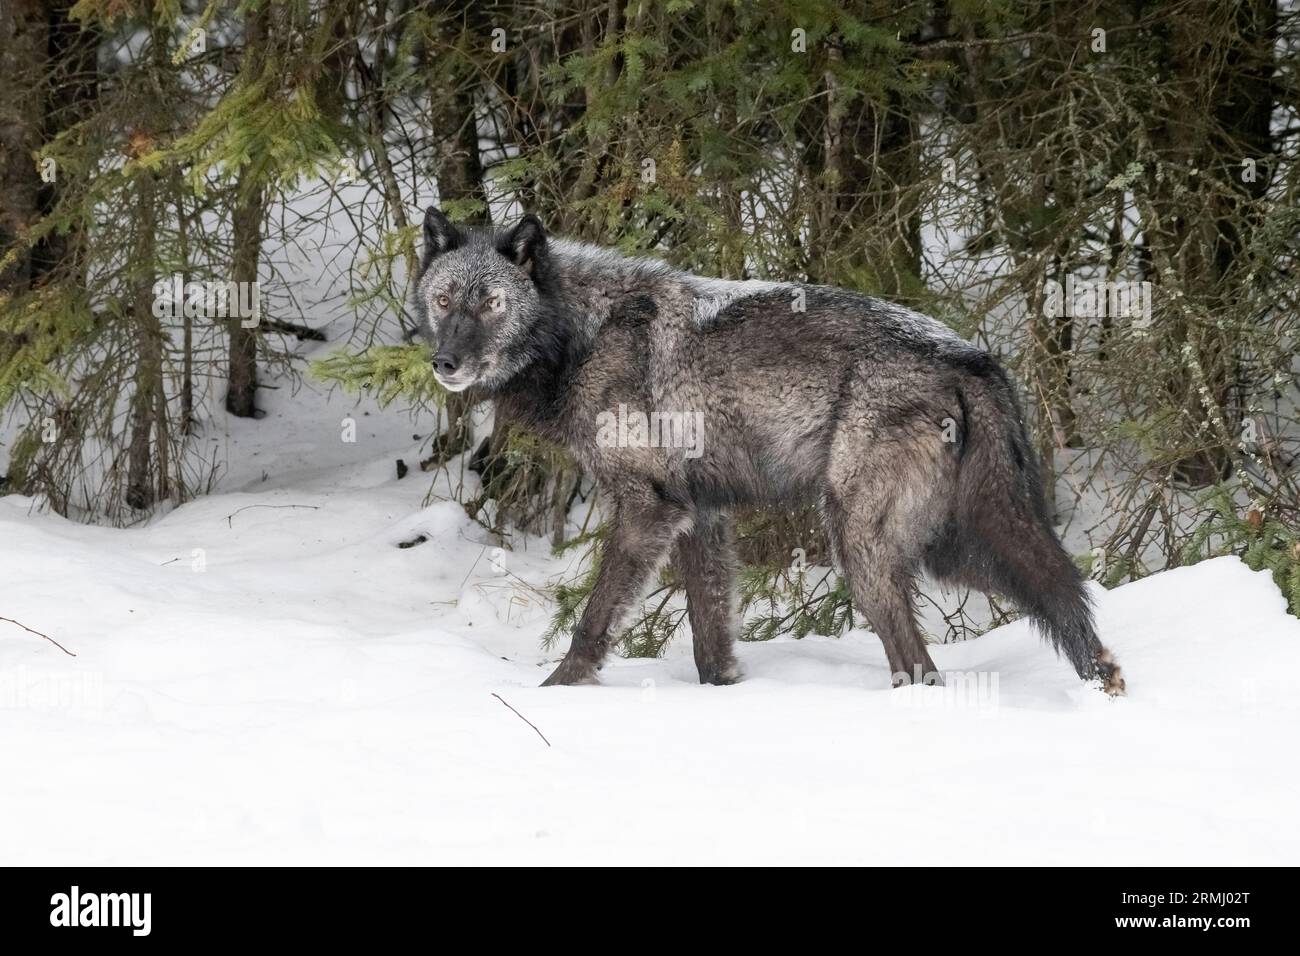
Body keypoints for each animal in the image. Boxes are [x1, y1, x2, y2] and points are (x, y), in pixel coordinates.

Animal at [413, 207, 1125, 695]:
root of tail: (970, 356)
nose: (443, 363)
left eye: (490, 303)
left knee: (921, 664)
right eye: (444, 299)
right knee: (1056, 591)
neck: (579, 337)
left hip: (867, 547)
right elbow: (710, 637)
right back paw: (1105, 679)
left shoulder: (649, 510)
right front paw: (726, 696)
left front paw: (557, 693)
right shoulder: (698, 515)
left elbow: (593, 619)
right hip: (951, 546)